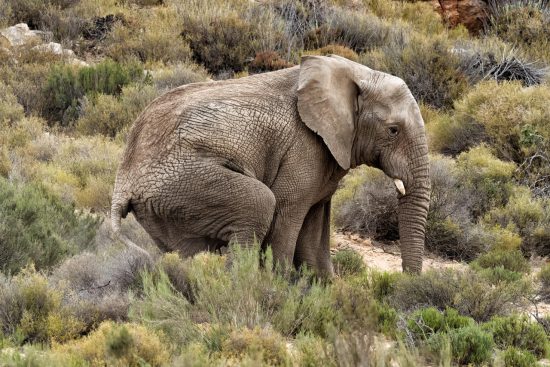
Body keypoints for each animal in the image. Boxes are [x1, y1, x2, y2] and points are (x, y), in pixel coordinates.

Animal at [111, 54, 432, 274]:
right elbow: (288, 212)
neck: (354, 72)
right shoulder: (303, 148)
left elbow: (315, 226)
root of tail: (122, 182)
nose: (405, 281)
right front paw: (278, 284)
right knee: (260, 203)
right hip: (180, 182)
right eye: (393, 130)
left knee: (187, 250)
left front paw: (323, 289)